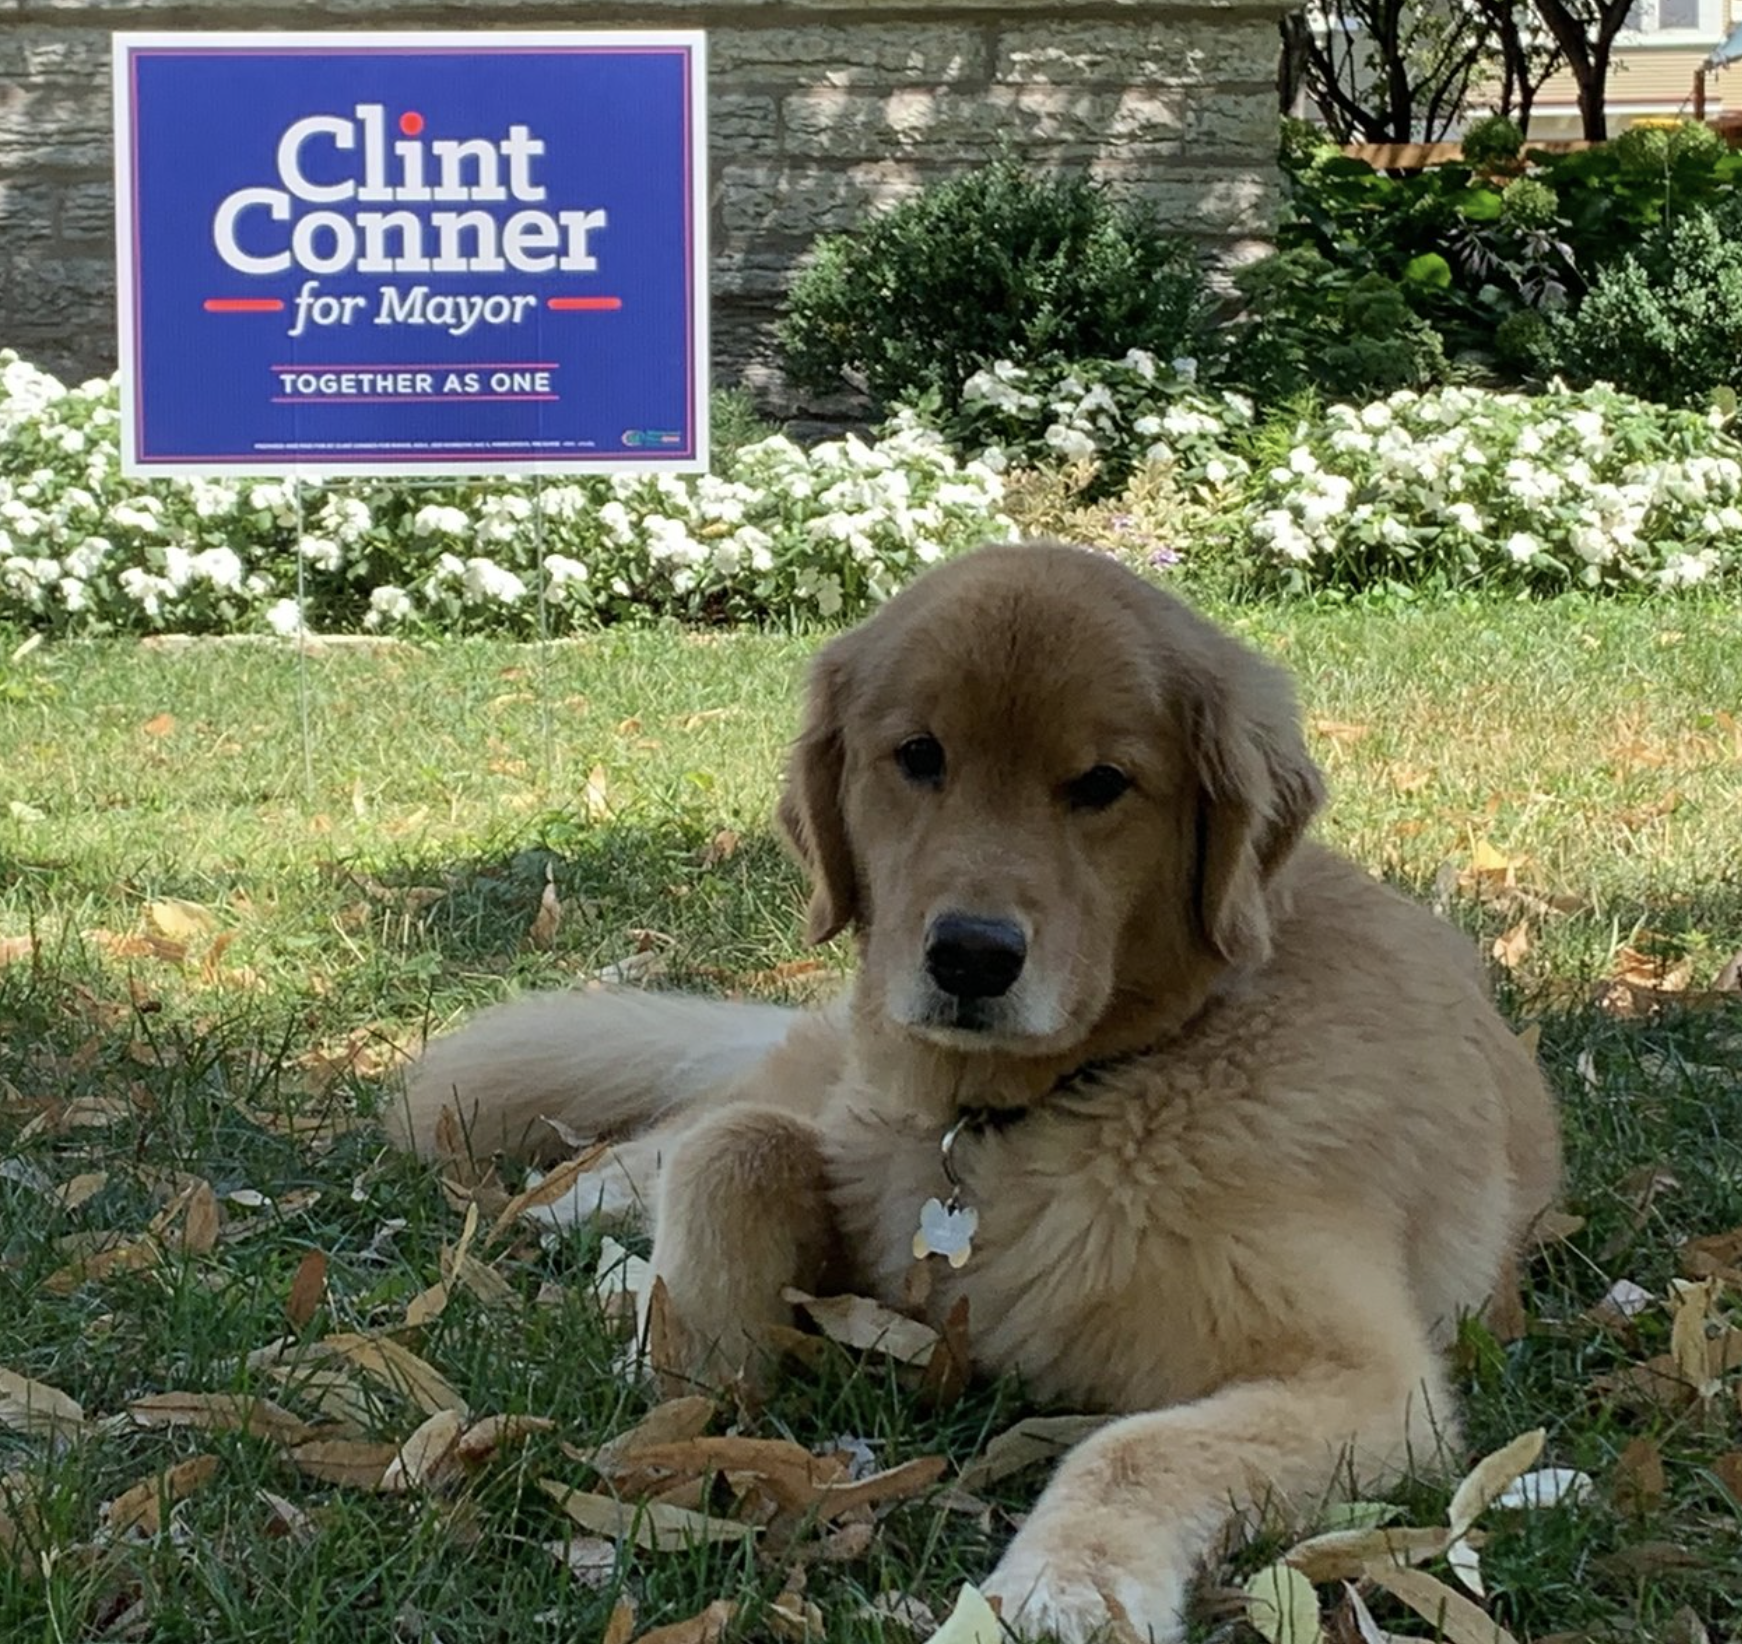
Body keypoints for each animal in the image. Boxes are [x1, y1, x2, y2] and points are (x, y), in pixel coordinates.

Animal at [398, 543, 1567, 1644]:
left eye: (1101, 782)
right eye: (919, 758)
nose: (969, 956)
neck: (1039, 1106)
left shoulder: (1376, 1384)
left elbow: (1134, 1446)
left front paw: (1069, 1582)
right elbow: (737, 1150)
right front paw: (687, 1355)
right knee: (696, 1126)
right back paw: (578, 1209)